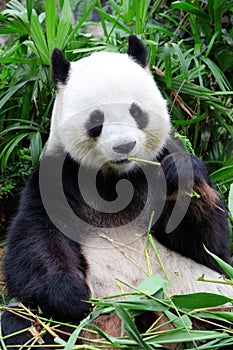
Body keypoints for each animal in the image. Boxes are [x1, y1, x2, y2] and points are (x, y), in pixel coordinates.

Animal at [1, 34, 231, 348]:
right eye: (96, 120)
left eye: (136, 111)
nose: (124, 146)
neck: (116, 178)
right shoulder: (56, 177)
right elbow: (36, 241)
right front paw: (73, 297)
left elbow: (210, 247)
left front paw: (180, 174)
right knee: (20, 323)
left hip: (198, 298)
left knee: (213, 312)